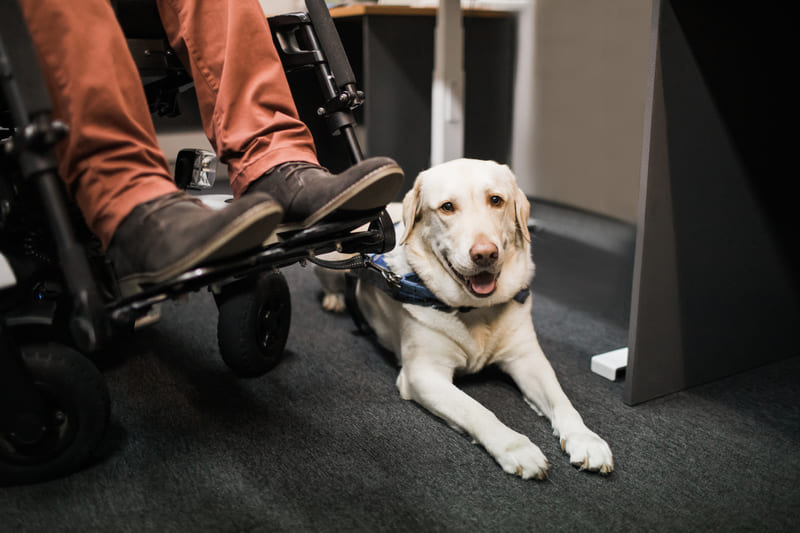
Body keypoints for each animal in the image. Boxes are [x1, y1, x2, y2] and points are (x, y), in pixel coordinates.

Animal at [318, 158, 612, 478]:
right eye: (447, 207)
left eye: (496, 200)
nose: (485, 254)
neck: (477, 309)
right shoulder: (424, 374)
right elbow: (476, 410)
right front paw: (516, 447)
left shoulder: (527, 358)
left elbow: (562, 400)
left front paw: (586, 440)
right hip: (331, 257)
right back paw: (335, 300)